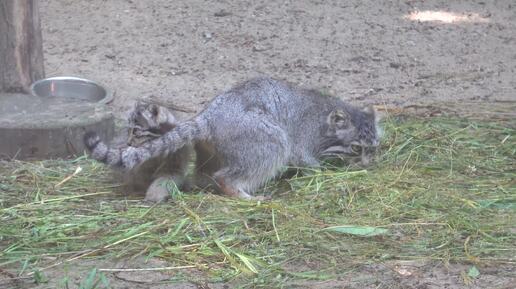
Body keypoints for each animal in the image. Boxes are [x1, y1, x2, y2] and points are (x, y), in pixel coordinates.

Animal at [84, 77, 380, 198]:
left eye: (373, 148)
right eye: (356, 148)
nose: (368, 165)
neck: (326, 113)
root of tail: (209, 116)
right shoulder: (304, 136)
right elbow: (304, 158)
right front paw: (322, 172)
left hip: (213, 149)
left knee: (205, 173)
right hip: (261, 134)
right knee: (268, 151)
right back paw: (239, 191)